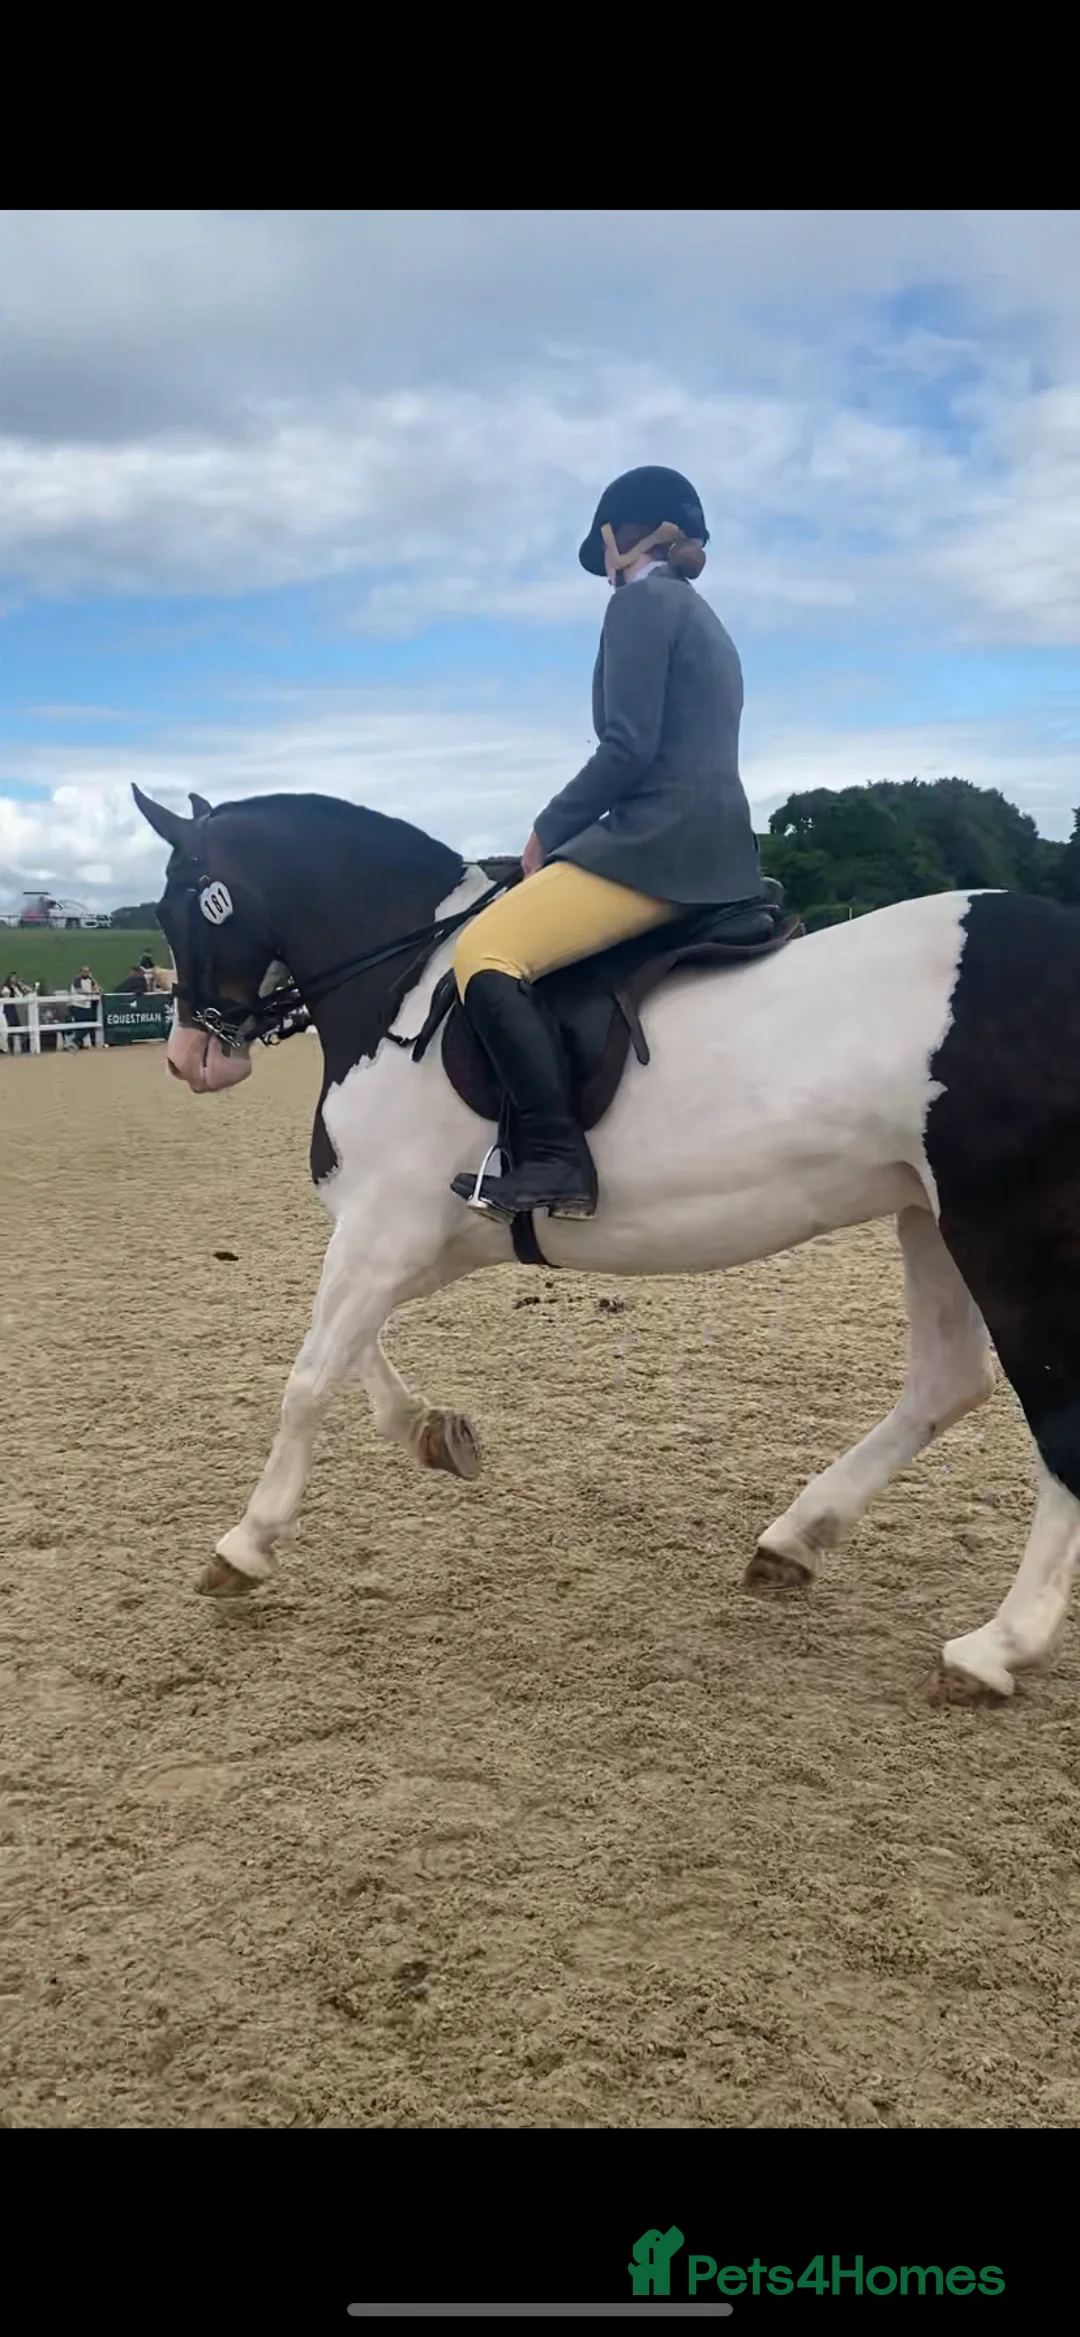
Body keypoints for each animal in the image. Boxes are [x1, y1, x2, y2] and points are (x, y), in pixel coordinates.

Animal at [134, 782, 1080, 1705]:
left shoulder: (383, 1229)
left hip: (1004, 1228)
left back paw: (995, 1647)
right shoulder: (417, 1236)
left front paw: (245, 1545)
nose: (190, 1058)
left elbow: (307, 1379)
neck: (399, 991)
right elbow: (357, 1354)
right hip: (929, 1216)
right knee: (947, 1380)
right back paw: (795, 1539)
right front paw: (432, 1432)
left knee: (1057, 1422)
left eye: (183, 900)